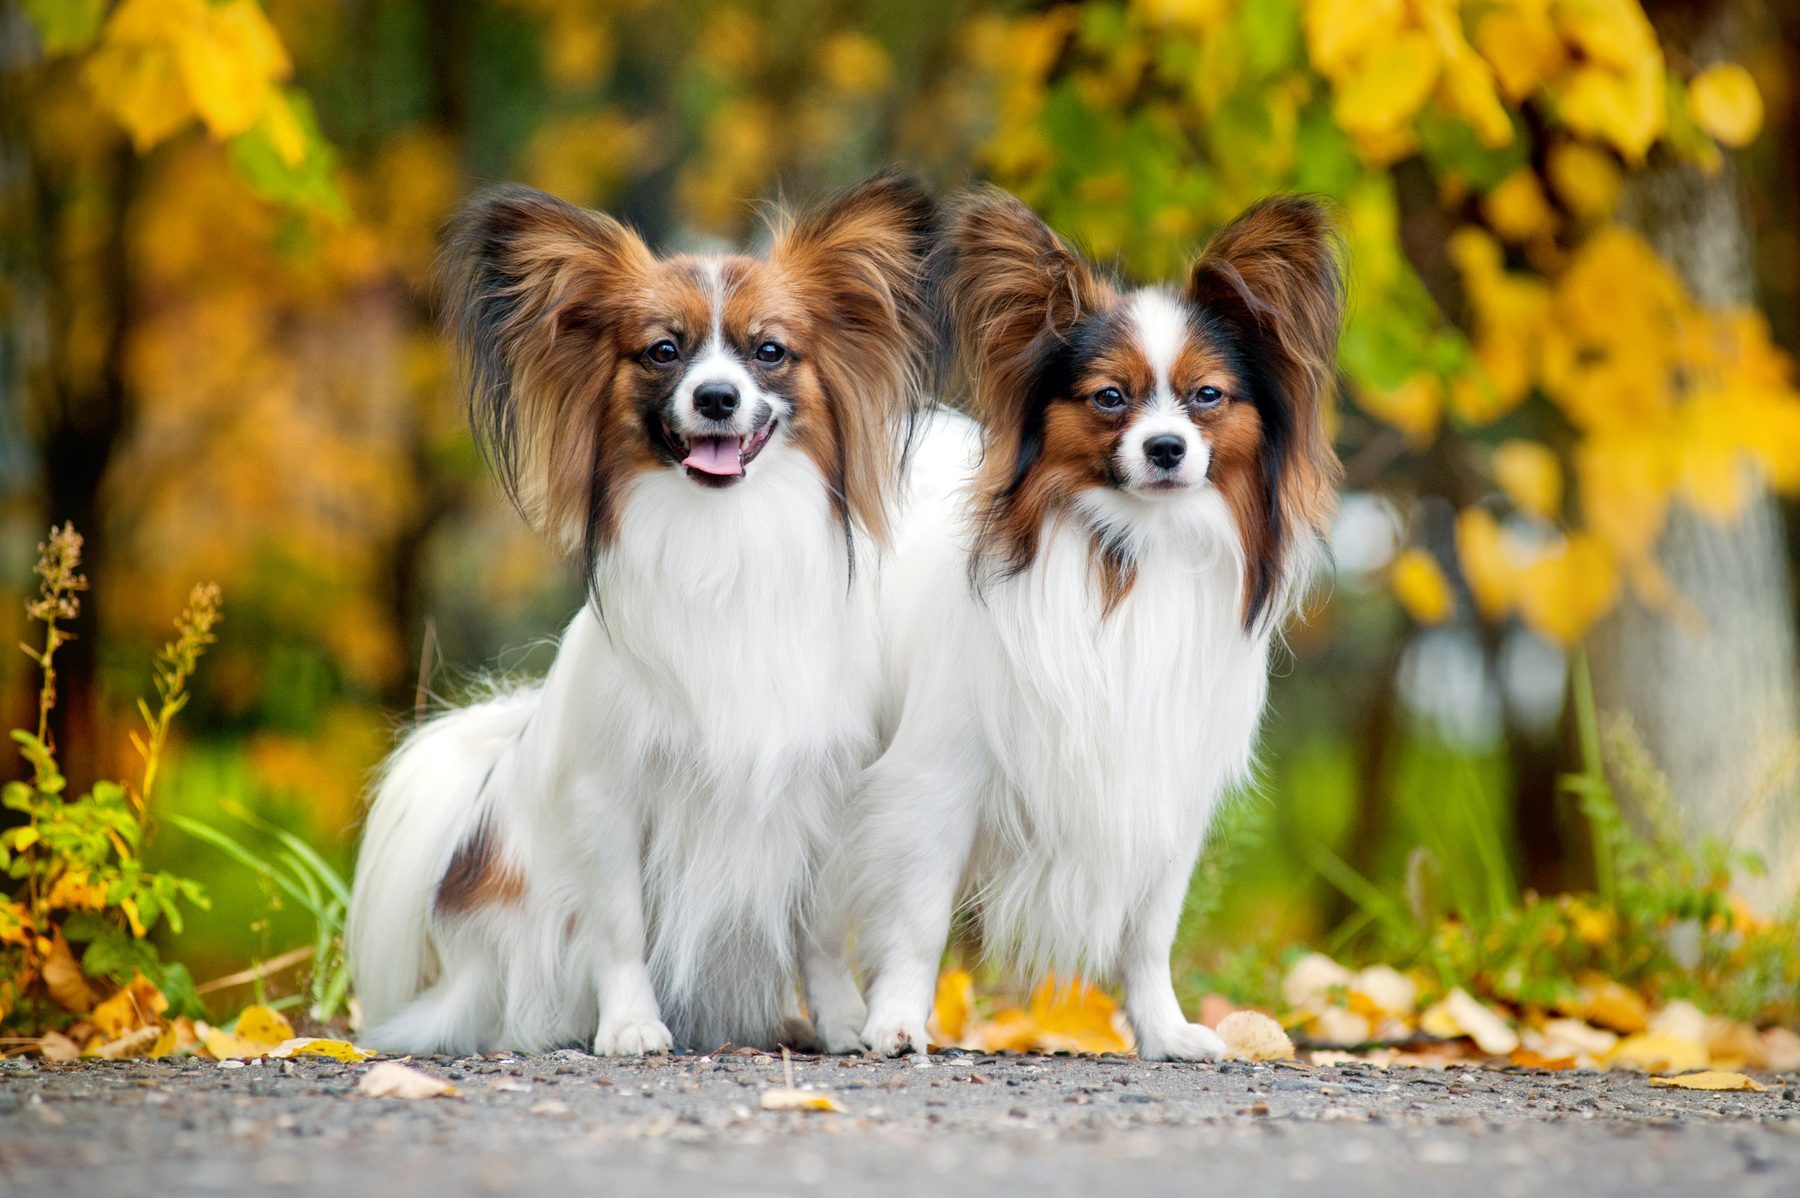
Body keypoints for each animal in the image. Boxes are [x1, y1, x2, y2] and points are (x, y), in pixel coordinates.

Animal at [351, 172, 943, 1050]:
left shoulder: (818, 795)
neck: (724, 541)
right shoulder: (610, 799)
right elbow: (621, 930)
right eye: (664, 351)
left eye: (769, 351)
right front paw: (631, 1026)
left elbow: (816, 935)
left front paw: (841, 1022)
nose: (718, 397)